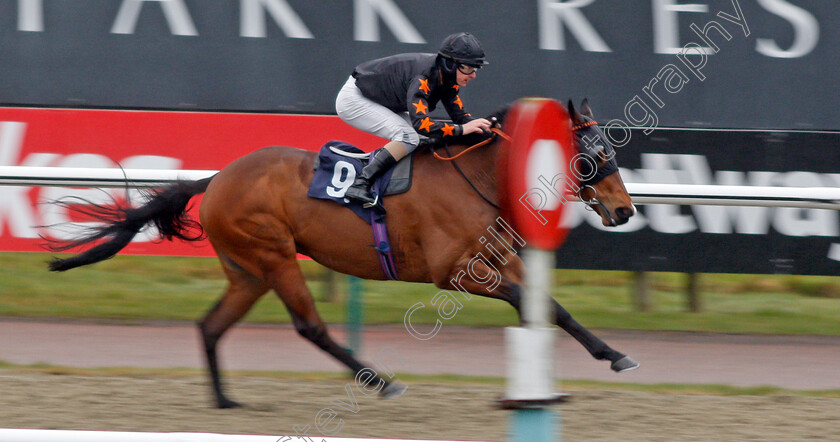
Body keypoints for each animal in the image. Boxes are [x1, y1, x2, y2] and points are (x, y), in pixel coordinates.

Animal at [49, 99, 640, 408]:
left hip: (247, 271)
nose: (625, 210)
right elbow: (532, 303)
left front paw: (614, 354)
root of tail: (216, 178)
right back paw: (380, 381)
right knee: (309, 327)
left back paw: (225, 401)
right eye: (594, 153)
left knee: (211, 326)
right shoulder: (454, 273)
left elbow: (553, 307)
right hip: (274, 256)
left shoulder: (498, 260)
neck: (476, 177)